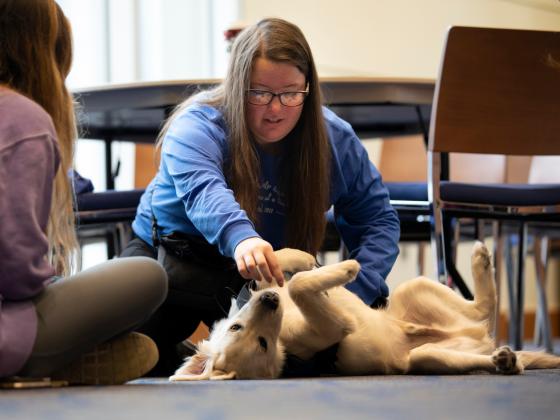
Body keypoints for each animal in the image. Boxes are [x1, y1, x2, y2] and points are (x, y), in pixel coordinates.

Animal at [171, 241, 560, 378]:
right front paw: (345, 268)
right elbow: (299, 285)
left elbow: (276, 264)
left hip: (412, 289)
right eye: (261, 345)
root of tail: (477, 340)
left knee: (481, 310)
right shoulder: (330, 330)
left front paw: (303, 259)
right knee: (484, 317)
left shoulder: (265, 286)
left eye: (234, 327)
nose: (270, 303)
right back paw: (505, 360)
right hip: (428, 358)